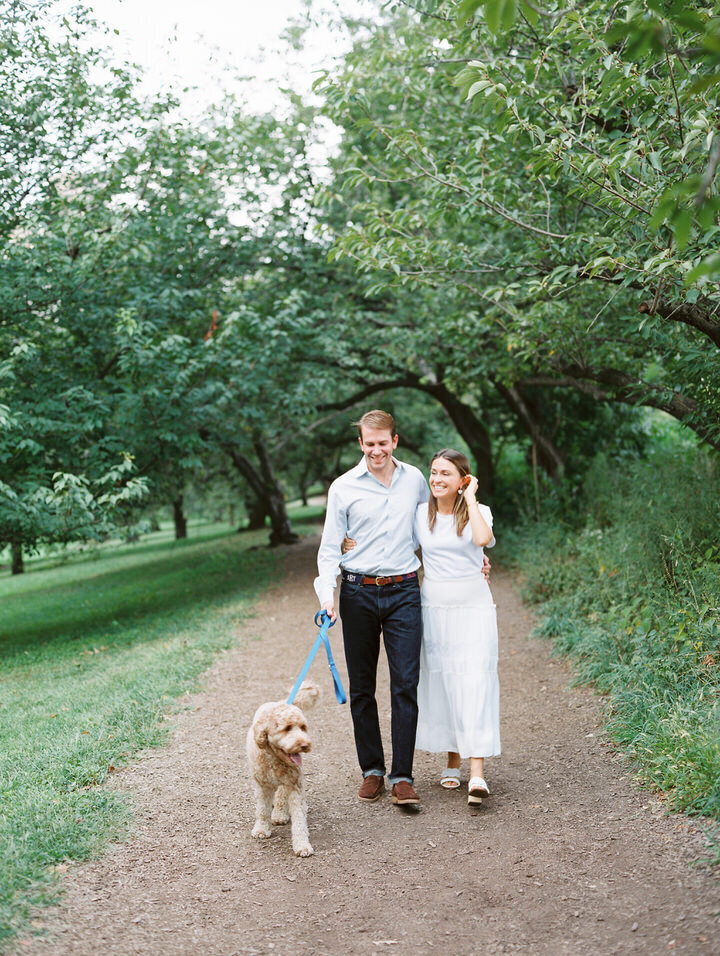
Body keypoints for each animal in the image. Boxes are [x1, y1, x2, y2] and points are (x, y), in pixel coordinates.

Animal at [248, 680, 320, 860]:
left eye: (303, 727)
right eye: (287, 728)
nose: (304, 745)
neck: (274, 757)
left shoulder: (294, 785)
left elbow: (299, 820)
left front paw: (302, 845)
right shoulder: (262, 786)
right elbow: (262, 810)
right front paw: (261, 829)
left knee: (281, 796)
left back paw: (280, 814)